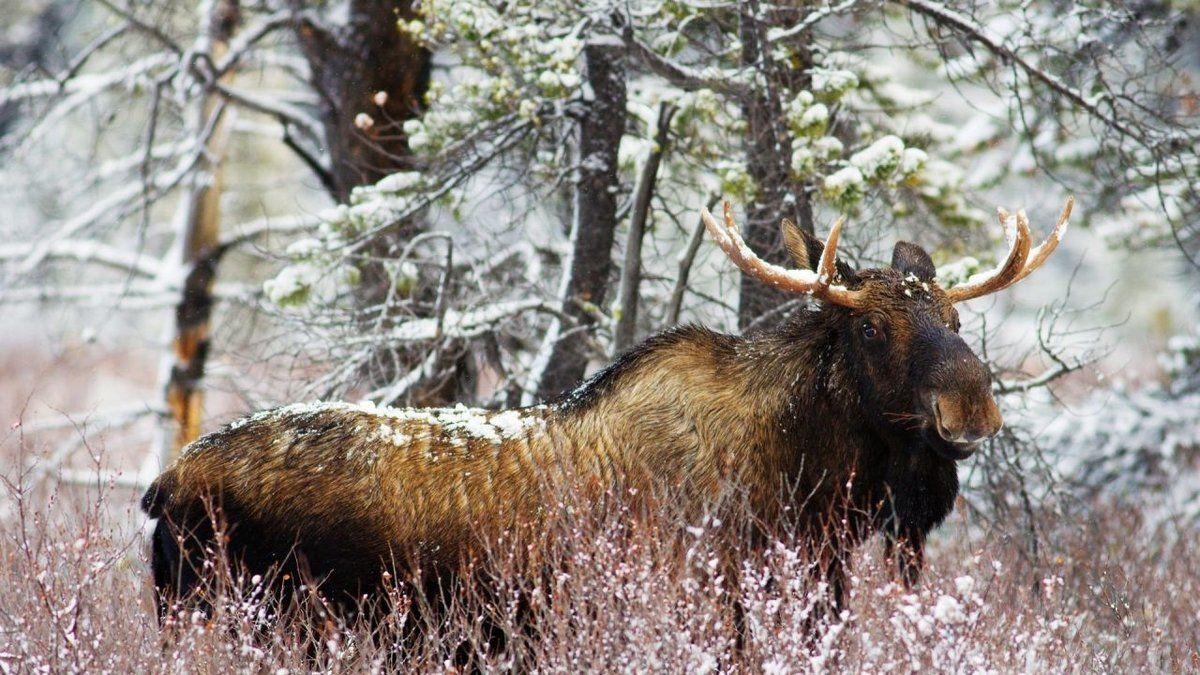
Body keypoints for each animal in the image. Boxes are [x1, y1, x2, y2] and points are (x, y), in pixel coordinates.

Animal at [142, 196, 1073, 625]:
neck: (812, 485)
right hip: (234, 615)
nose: (972, 408)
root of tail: (161, 485)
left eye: (957, 320)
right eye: (874, 326)